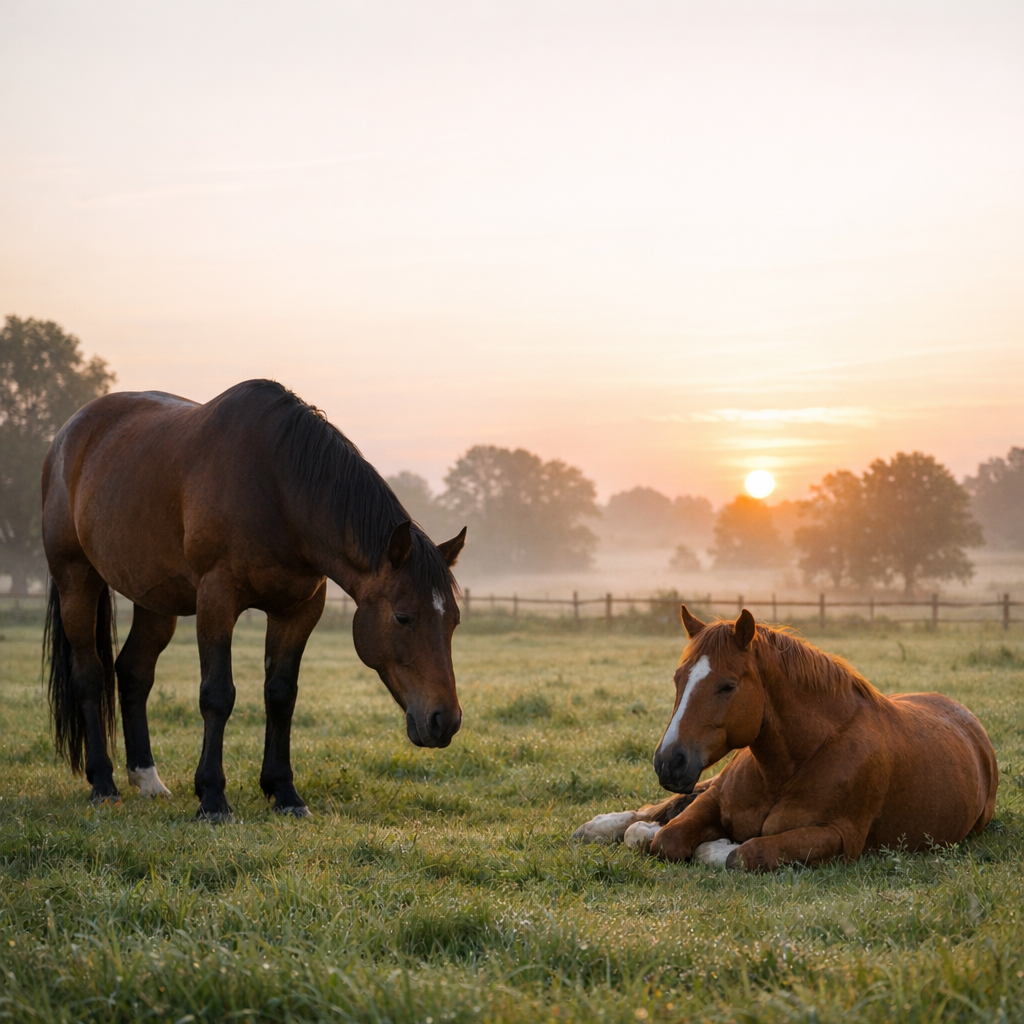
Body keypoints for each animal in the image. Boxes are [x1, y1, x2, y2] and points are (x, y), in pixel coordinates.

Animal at [41, 379, 467, 819]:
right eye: (403, 617)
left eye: (453, 620)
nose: (445, 720)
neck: (279, 488)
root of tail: (68, 434)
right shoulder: (217, 597)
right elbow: (217, 694)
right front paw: (213, 798)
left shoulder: (298, 610)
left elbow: (280, 695)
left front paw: (285, 793)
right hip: (76, 581)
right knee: (90, 676)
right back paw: (103, 784)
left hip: (154, 599)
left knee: (133, 672)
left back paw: (147, 779)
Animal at [574, 607, 998, 870]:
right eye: (679, 678)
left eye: (727, 686)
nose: (668, 762)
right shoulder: (713, 799)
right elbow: (669, 838)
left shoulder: (839, 837)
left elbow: (745, 854)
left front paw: (720, 845)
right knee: (658, 809)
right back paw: (602, 827)